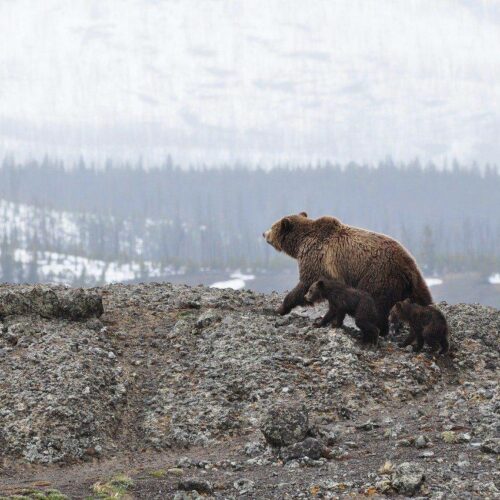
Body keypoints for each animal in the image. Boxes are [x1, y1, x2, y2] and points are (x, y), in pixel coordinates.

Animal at [264, 212, 432, 336]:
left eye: (272, 226)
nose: (263, 233)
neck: (301, 242)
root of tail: (408, 267)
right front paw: (336, 321)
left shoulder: (317, 259)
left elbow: (305, 284)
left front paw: (281, 308)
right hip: (412, 283)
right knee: (422, 298)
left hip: (378, 276)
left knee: (376, 304)